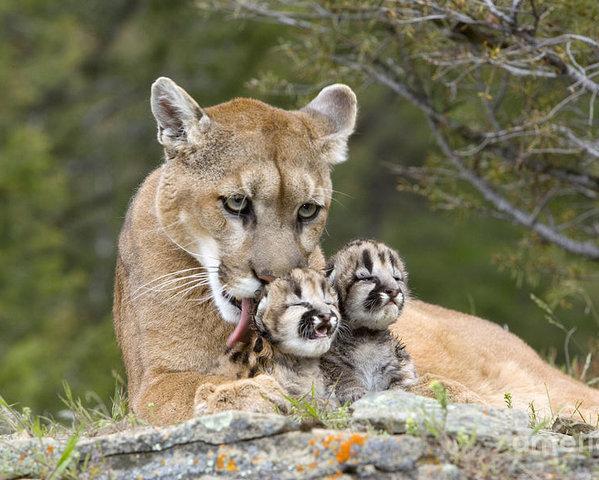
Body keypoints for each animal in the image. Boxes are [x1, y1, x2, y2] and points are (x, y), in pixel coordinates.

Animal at [113, 77, 599, 426]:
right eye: (236, 203)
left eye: (308, 209)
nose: (272, 280)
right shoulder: (152, 381)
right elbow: (189, 388)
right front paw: (246, 393)